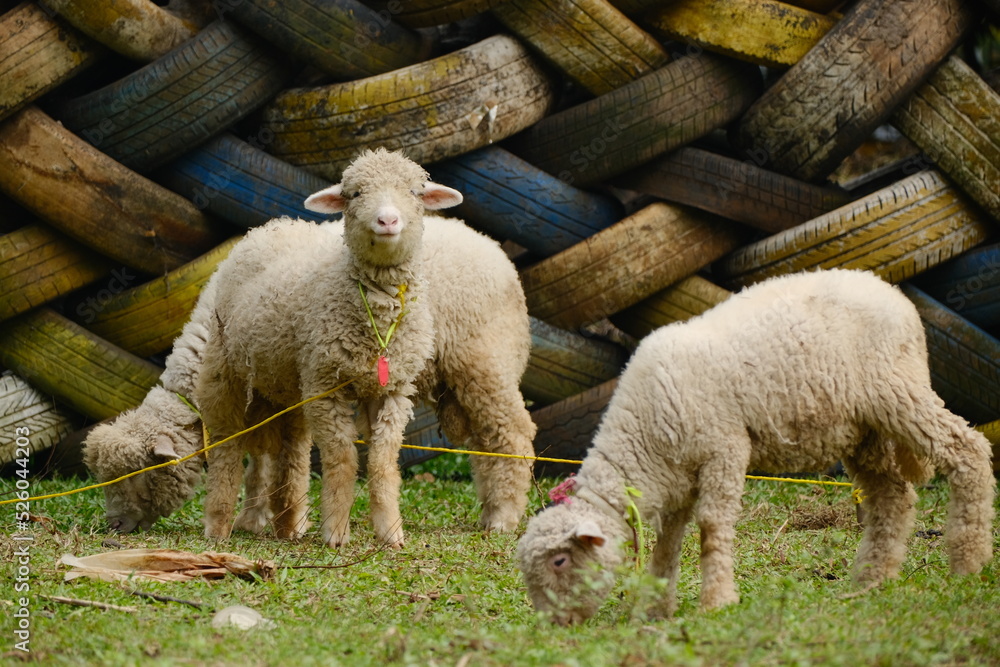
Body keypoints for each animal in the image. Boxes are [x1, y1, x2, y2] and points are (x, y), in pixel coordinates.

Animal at [520, 268, 996, 624]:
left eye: (560, 562)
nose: (554, 626)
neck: (644, 437)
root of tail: (892, 292)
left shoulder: (724, 449)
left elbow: (712, 527)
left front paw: (716, 601)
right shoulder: (678, 476)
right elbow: (667, 543)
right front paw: (656, 609)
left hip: (896, 391)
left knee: (967, 450)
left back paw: (968, 561)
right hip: (866, 430)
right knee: (892, 498)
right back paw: (870, 580)